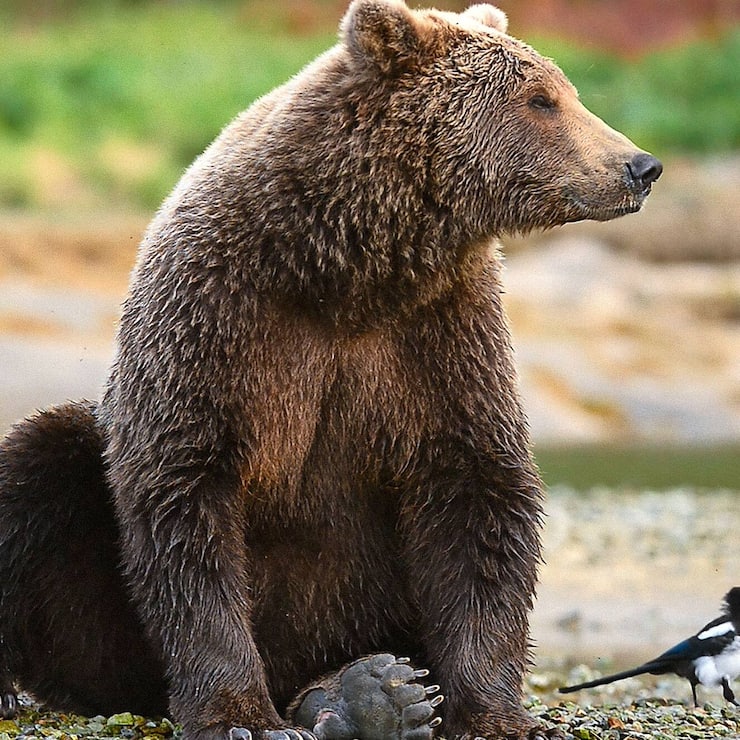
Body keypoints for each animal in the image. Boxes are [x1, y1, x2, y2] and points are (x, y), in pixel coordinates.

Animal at [0, 2, 662, 739]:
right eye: (541, 100)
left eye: (563, 90)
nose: (640, 166)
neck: (348, 265)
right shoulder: (218, 317)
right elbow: (185, 495)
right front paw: (240, 715)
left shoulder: (440, 335)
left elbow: (477, 494)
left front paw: (498, 713)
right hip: (97, 608)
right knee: (39, 463)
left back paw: (369, 693)